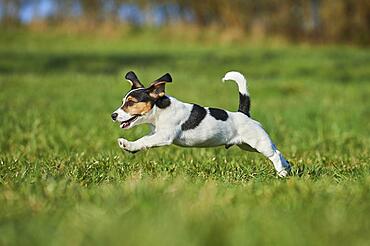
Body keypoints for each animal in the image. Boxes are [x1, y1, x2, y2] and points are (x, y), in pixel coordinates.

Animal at [111, 71, 290, 177]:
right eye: (122, 102)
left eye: (130, 103)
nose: (113, 115)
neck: (160, 109)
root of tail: (243, 114)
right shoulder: (156, 133)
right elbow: (145, 140)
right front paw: (131, 147)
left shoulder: (164, 136)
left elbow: (144, 141)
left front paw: (127, 144)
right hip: (247, 146)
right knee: (277, 151)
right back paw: (287, 167)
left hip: (257, 141)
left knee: (274, 154)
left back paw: (281, 173)